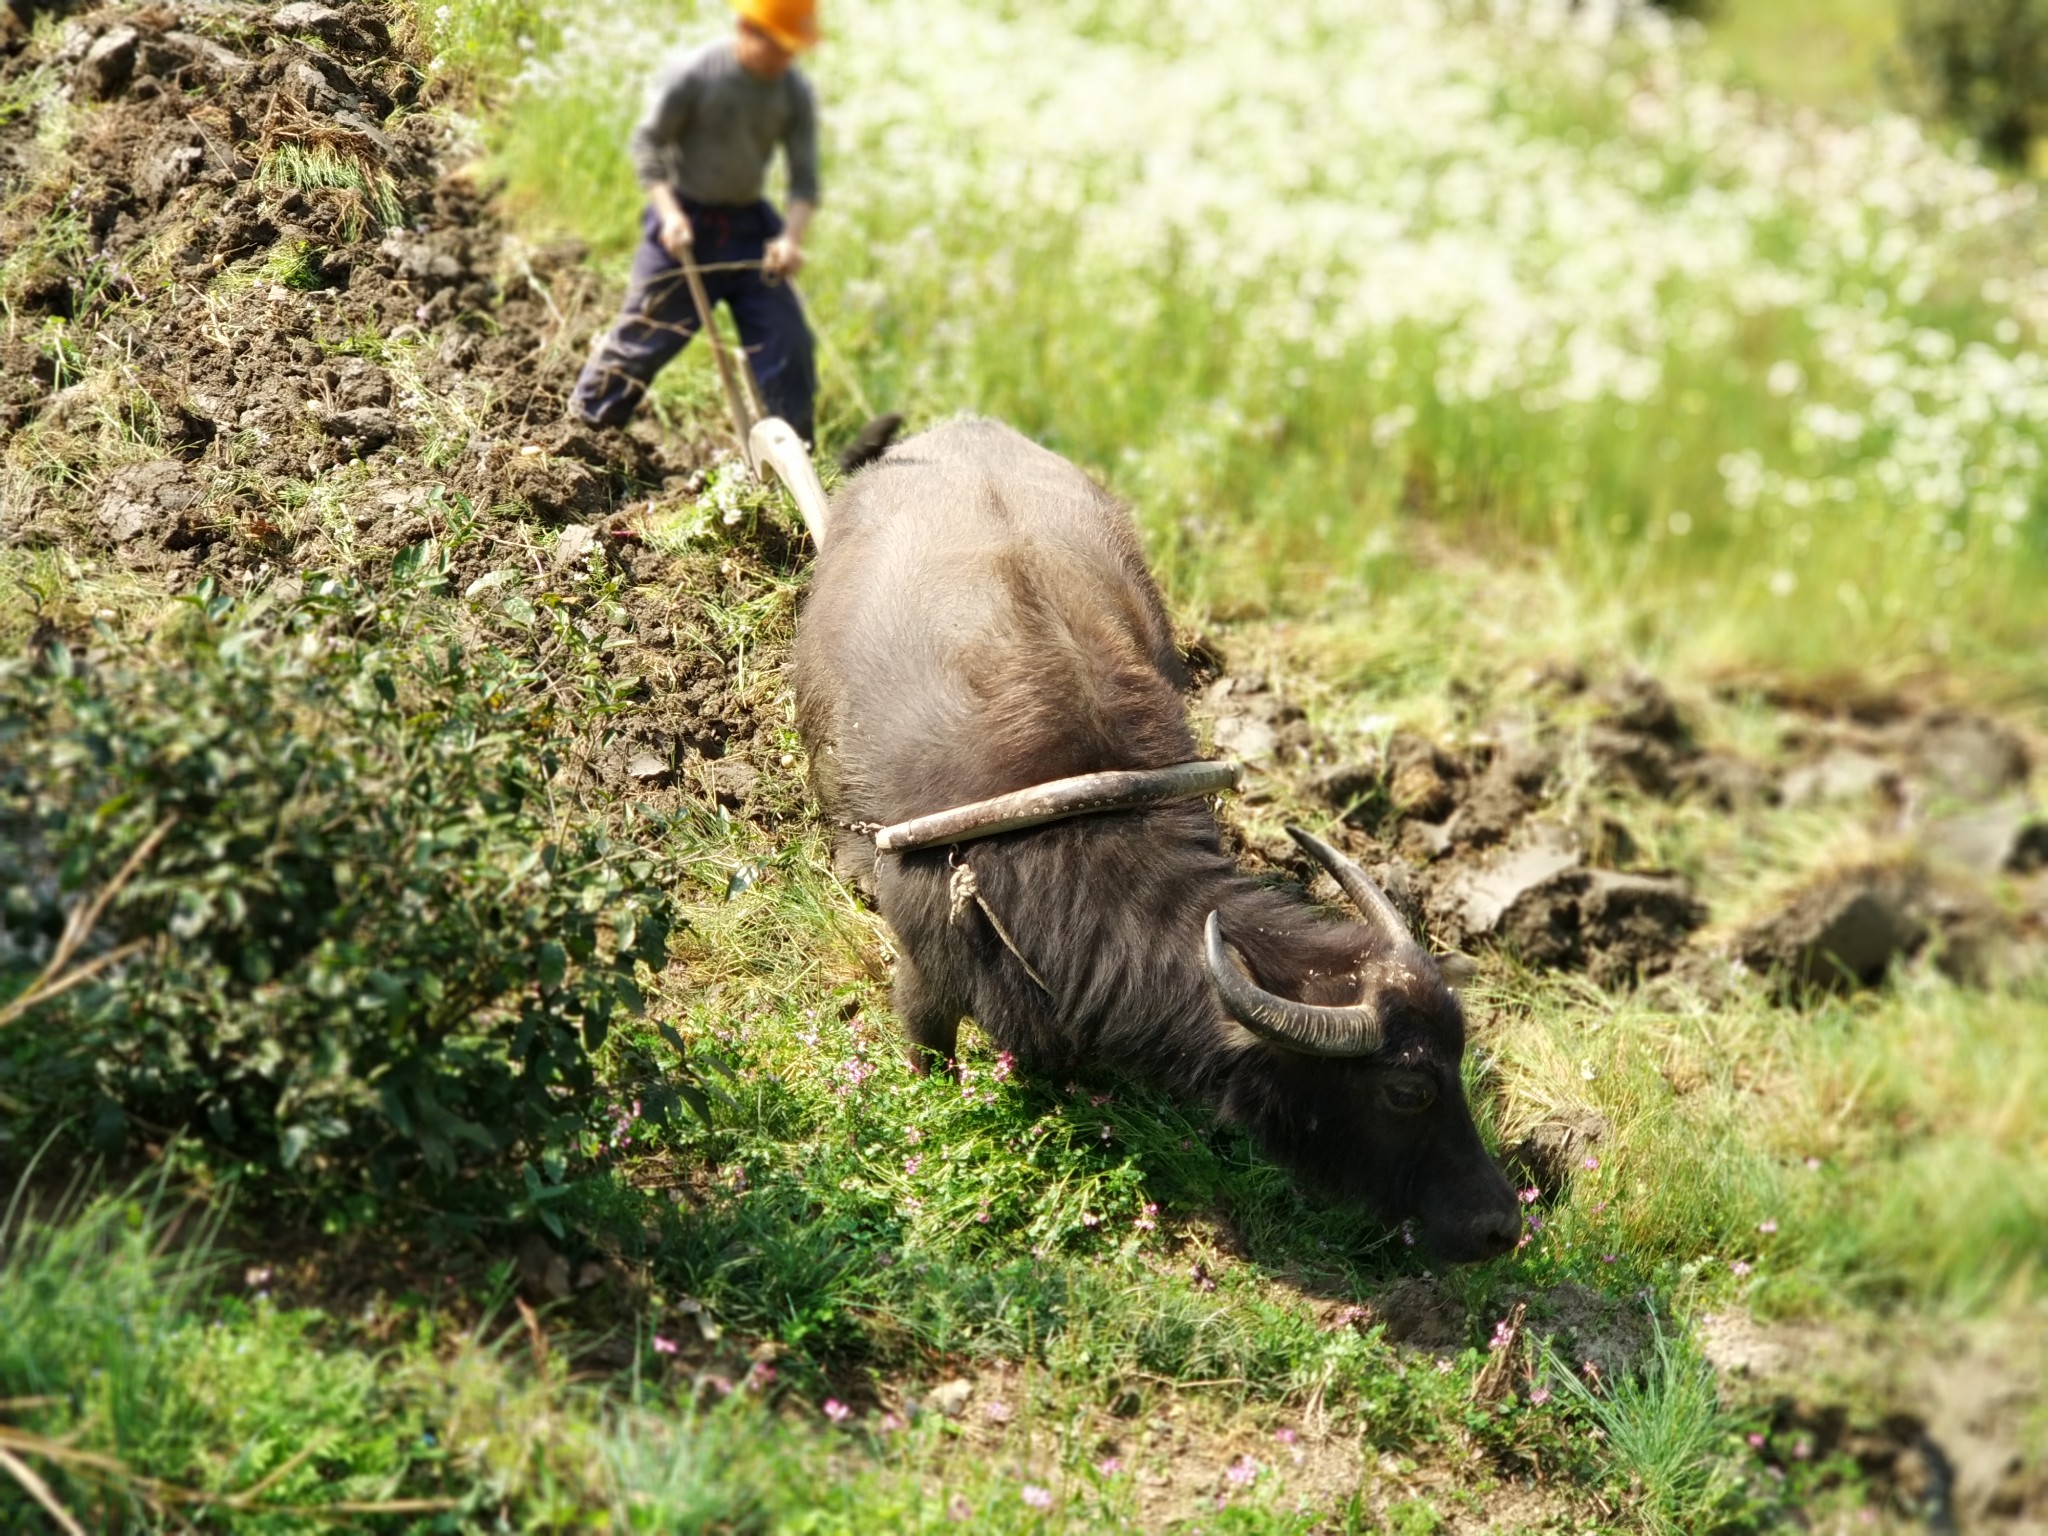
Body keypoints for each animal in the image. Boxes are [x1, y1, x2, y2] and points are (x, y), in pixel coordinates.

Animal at [790, 417, 1531, 1261]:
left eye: (1460, 1053)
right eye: (1406, 1088)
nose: (1499, 1224)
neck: (1083, 835)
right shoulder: (924, 981)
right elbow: (930, 1056)